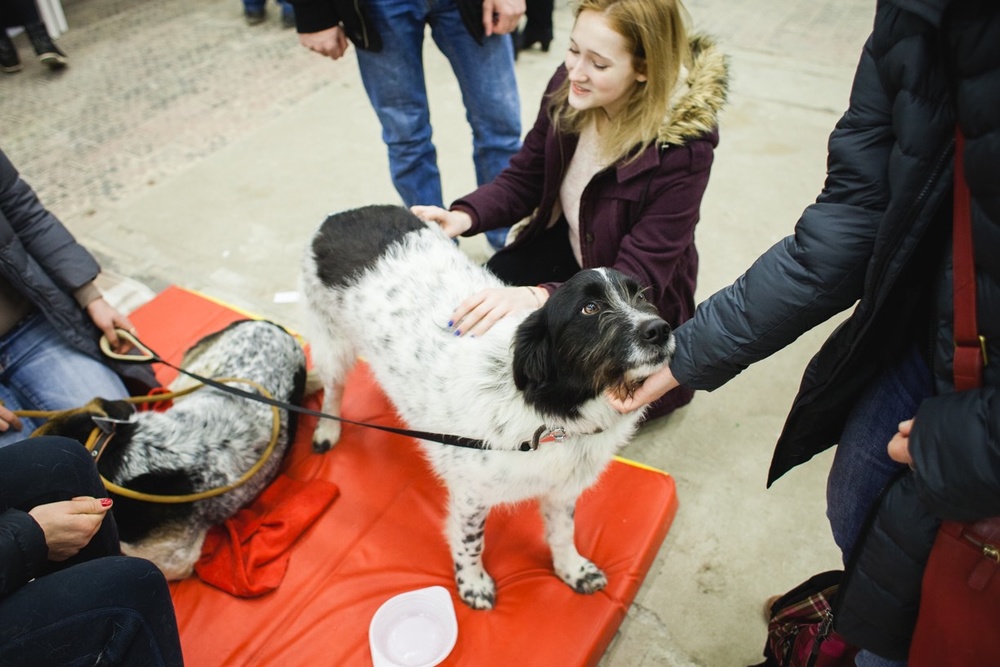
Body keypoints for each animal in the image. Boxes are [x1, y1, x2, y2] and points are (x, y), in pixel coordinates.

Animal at [300, 205, 676, 612]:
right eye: (589, 308)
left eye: (641, 295)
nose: (660, 329)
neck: (552, 414)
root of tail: (341, 214)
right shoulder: (471, 496)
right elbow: (471, 543)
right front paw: (473, 584)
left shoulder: (562, 489)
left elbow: (563, 532)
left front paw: (571, 570)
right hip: (331, 344)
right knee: (334, 388)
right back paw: (327, 429)